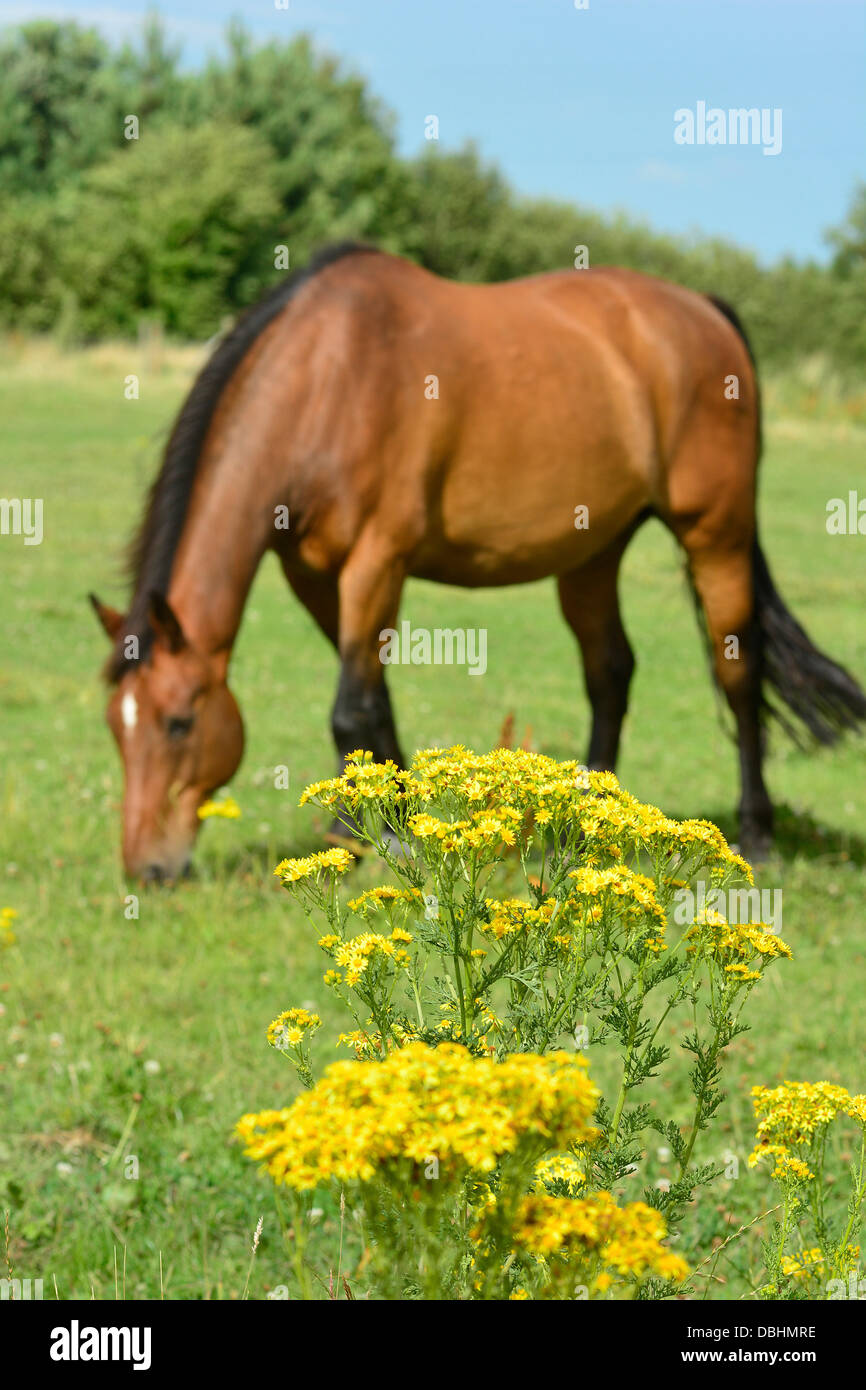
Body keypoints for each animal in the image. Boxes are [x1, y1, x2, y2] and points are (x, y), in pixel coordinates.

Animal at [90, 241, 866, 881]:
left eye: (179, 723)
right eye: (115, 727)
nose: (147, 869)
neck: (329, 380)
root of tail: (705, 309)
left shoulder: (379, 559)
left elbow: (351, 707)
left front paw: (380, 837)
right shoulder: (314, 576)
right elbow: (372, 701)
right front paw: (371, 826)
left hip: (716, 534)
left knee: (738, 672)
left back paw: (757, 832)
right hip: (593, 550)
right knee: (610, 672)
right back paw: (583, 827)